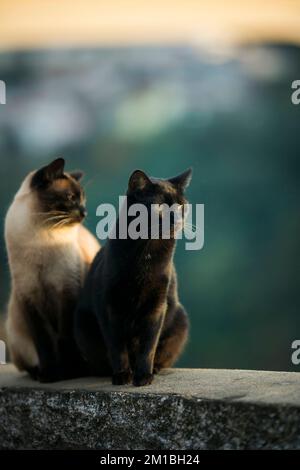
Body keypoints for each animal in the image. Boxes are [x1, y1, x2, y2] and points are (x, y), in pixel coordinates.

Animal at [4, 158, 100, 382]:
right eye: (71, 197)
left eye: (83, 199)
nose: (84, 212)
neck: (41, 238)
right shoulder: (29, 296)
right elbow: (44, 342)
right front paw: (50, 374)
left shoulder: (66, 292)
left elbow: (65, 339)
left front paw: (69, 374)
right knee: (28, 363)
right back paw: (39, 373)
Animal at [75, 169, 192, 386]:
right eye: (159, 206)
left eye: (181, 205)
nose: (177, 219)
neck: (147, 251)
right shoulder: (109, 306)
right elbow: (117, 346)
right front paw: (122, 375)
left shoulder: (157, 305)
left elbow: (148, 345)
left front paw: (143, 375)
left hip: (180, 319)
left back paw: (155, 369)